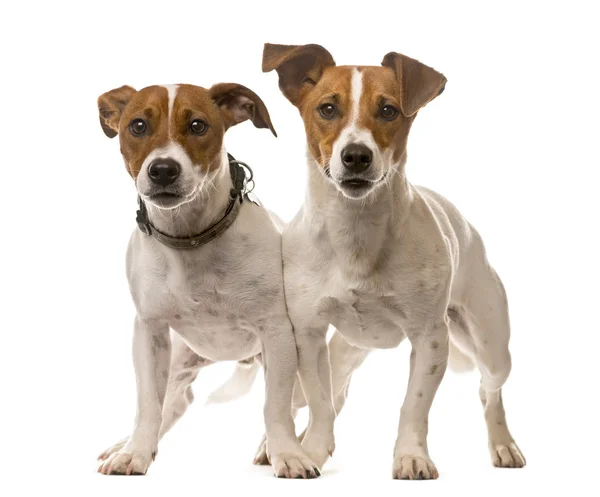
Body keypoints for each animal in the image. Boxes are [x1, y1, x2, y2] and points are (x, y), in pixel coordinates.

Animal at [95, 83, 318, 478]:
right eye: (137, 125)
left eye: (198, 125)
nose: (163, 170)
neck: (190, 239)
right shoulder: (150, 332)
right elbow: (148, 404)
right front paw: (134, 452)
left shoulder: (276, 333)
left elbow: (275, 407)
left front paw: (287, 454)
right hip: (180, 358)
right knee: (172, 401)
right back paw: (131, 443)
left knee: (298, 403)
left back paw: (275, 446)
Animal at [262, 44, 524, 478]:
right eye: (327, 108)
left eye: (388, 110)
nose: (356, 155)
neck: (356, 235)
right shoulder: (309, 334)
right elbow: (320, 403)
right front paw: (312, 450)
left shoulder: (430, 338)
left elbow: (413, 407)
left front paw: (411, 456)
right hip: (343, 351)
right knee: (324, 396)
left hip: (491, 346)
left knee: (491, 392)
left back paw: (503, 444)